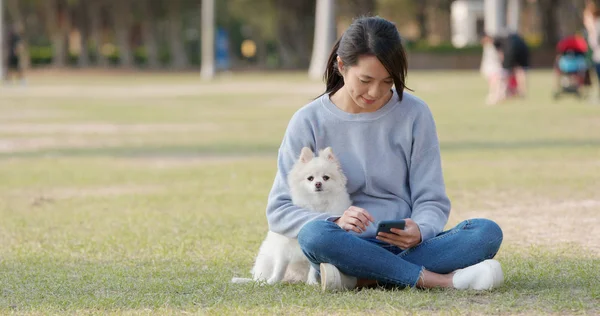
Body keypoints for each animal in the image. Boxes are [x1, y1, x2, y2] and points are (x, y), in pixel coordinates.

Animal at [231, 147, 352, 286]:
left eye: (326, 177)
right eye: (310, 178)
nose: (318, 184)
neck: (317, 202)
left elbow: (312, 269)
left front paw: (312, 282)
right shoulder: (283, 246)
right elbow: (280, 267)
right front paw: (272, 281)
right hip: (266, 261)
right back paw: (262, 281)